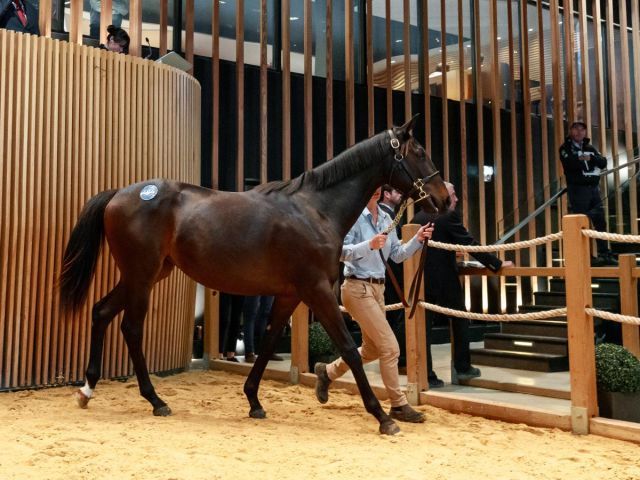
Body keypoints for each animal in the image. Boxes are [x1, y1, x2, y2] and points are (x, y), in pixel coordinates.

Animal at [61, 115, 450, 436]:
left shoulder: (290, 294)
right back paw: (155, 400)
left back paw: (87, 389)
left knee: (101, 311)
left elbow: (266, 344)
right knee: (130, 328)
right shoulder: (317, 291)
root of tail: (120, 194)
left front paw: (253, 401)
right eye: (419, 152)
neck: (316, 210)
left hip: (146, 274)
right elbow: (349, 350)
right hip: (141, 276)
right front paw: (383, 418)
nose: (446, 199)